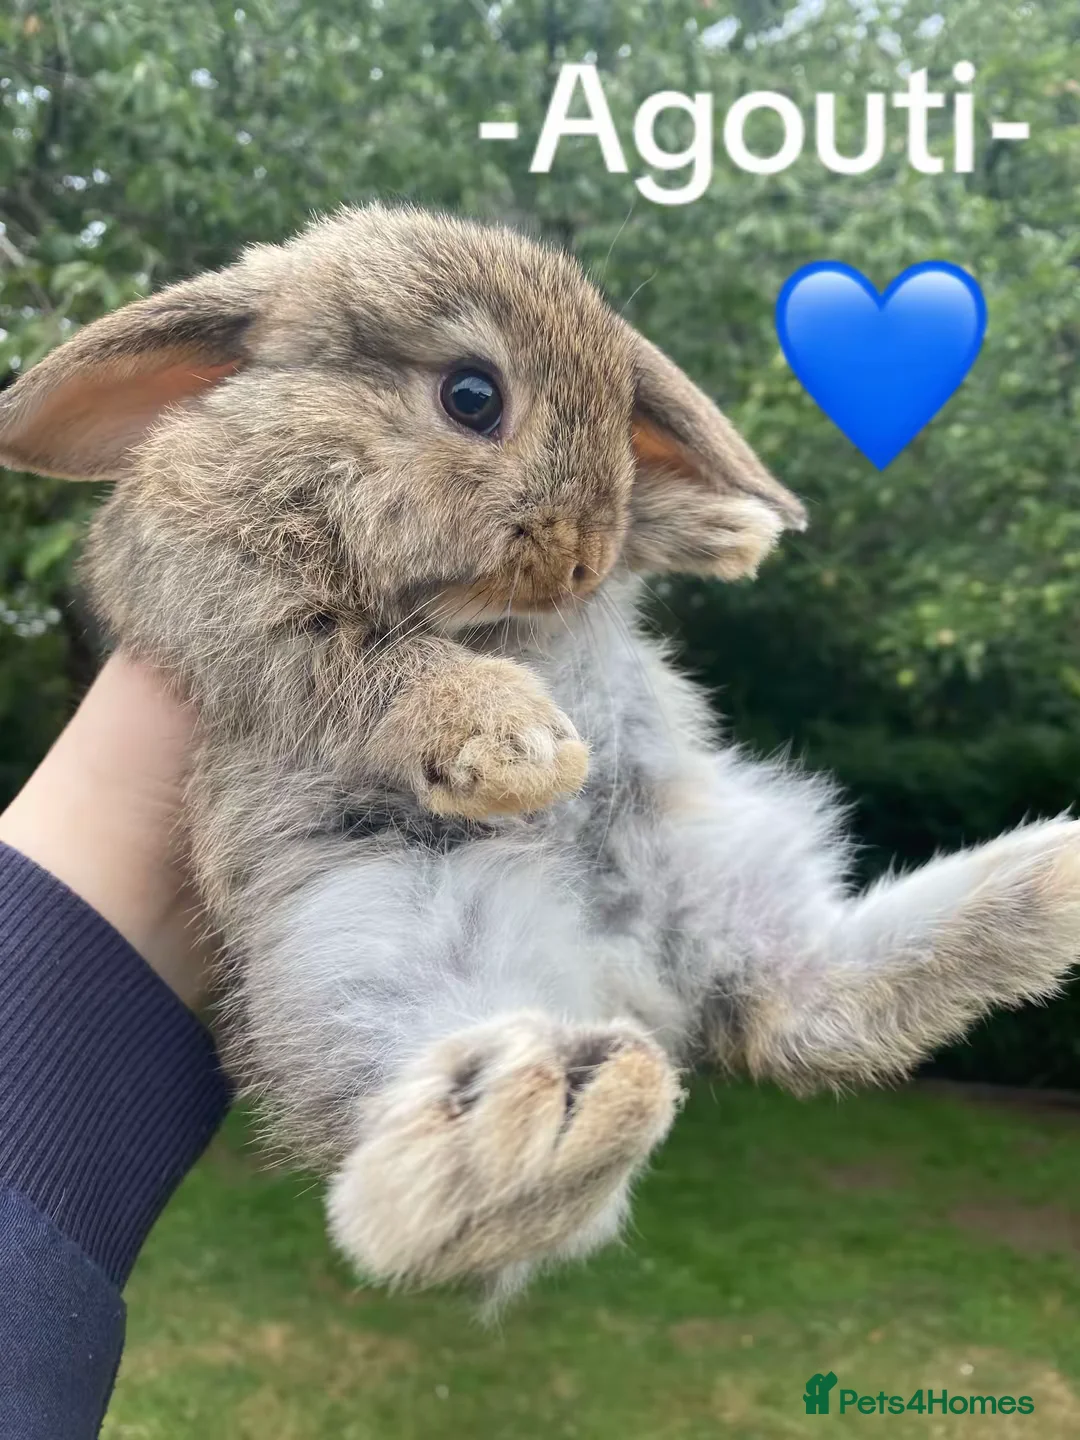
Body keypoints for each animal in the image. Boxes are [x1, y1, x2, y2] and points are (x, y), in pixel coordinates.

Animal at [2, 201, 1079, 1299]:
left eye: (620, 409)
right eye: (473, 396)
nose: (579, 563)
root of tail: (632, 970)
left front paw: (729, 529)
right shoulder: (235, 591)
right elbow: (368, 658)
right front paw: (528, 750)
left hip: (720, 880)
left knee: (801, 1006)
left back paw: (1051, 880)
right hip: (356, 939)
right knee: (408, 1196)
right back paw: (548, 1117)